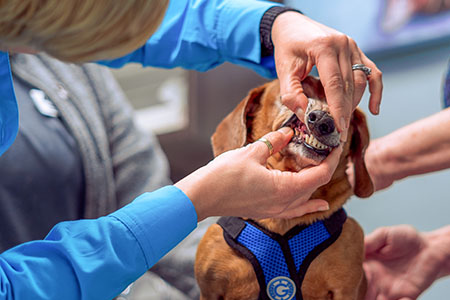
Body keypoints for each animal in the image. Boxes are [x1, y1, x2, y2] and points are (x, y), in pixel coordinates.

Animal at [195, 77, 374, 300]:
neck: (281, 223)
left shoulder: (346, 290)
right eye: (298, 91)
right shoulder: (209, 290)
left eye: (343, 106)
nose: (323, 120)